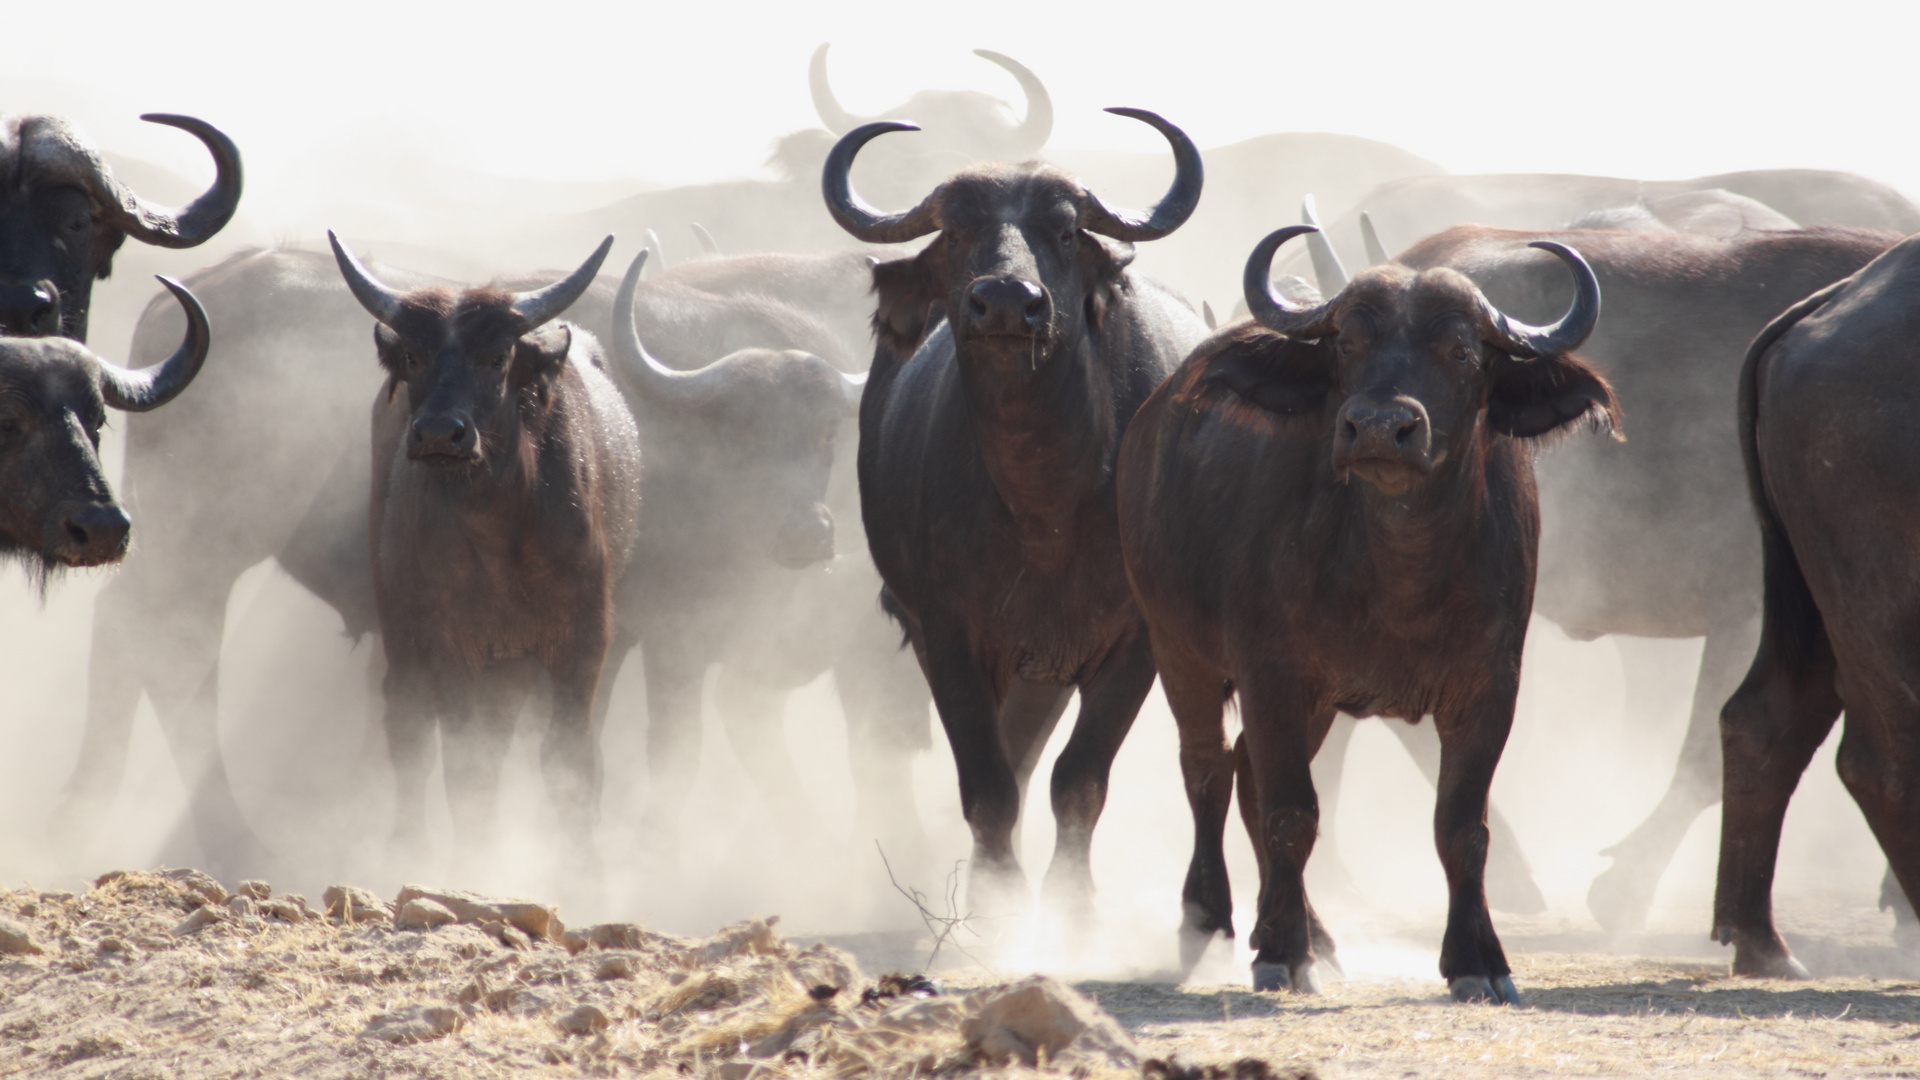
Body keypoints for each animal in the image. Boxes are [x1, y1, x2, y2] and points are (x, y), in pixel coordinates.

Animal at [334, 233, 641, 876]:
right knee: (408, 725)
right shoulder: (448, 640)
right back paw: (404, 847)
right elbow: (465, 767)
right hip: (402, 625)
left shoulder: (585, 636)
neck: (502, 534)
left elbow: (571, 761)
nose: (438, 434)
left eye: (497, 357)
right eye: (414, 356)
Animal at [1121, 222, 1620, 999]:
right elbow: (1292, 815)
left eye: (1462, 350)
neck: (1398, 571)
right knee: (1207, 769)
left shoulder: (1489, 688)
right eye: (1348, 343)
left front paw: (1477, 960)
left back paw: (1311, 932)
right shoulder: (1270, 672)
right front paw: (1279, 953)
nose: (1382, 427)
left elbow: (1462, 828)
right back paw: (1211, 922)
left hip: (1315, 703)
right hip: (1178, 650)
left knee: (1245, 772)